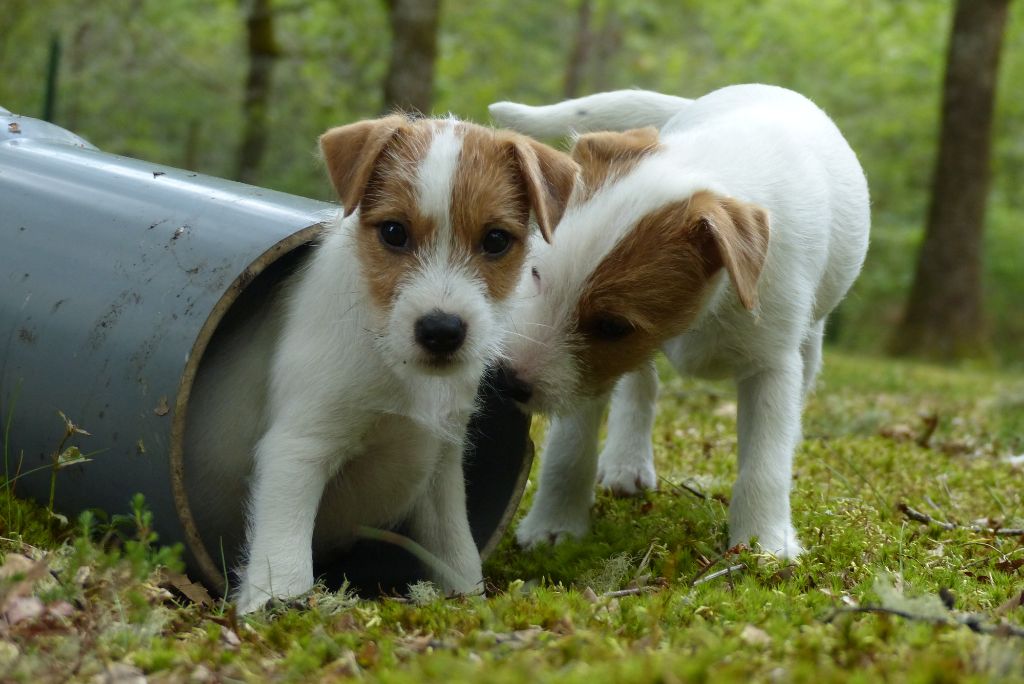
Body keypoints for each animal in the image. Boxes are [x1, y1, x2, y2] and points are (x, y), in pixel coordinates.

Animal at [185, 114, 581, 610]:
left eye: (495, 240)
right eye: (394, 233)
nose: (441, 330)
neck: (398, 365)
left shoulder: (440, 460)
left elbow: (457, 548)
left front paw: (468, 600)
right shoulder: (299, 447)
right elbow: (285, 551)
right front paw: (279, 607)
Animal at [491, 82, 868, 557]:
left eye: (613, 325)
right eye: (536, 274)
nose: (505, 381)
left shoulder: (771, 366)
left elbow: (765, 460)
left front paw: (762, 544)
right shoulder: (588, 374)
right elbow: (569, 448)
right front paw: (554, 526)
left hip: (811, 337)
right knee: (640, 386)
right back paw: (626, 461)